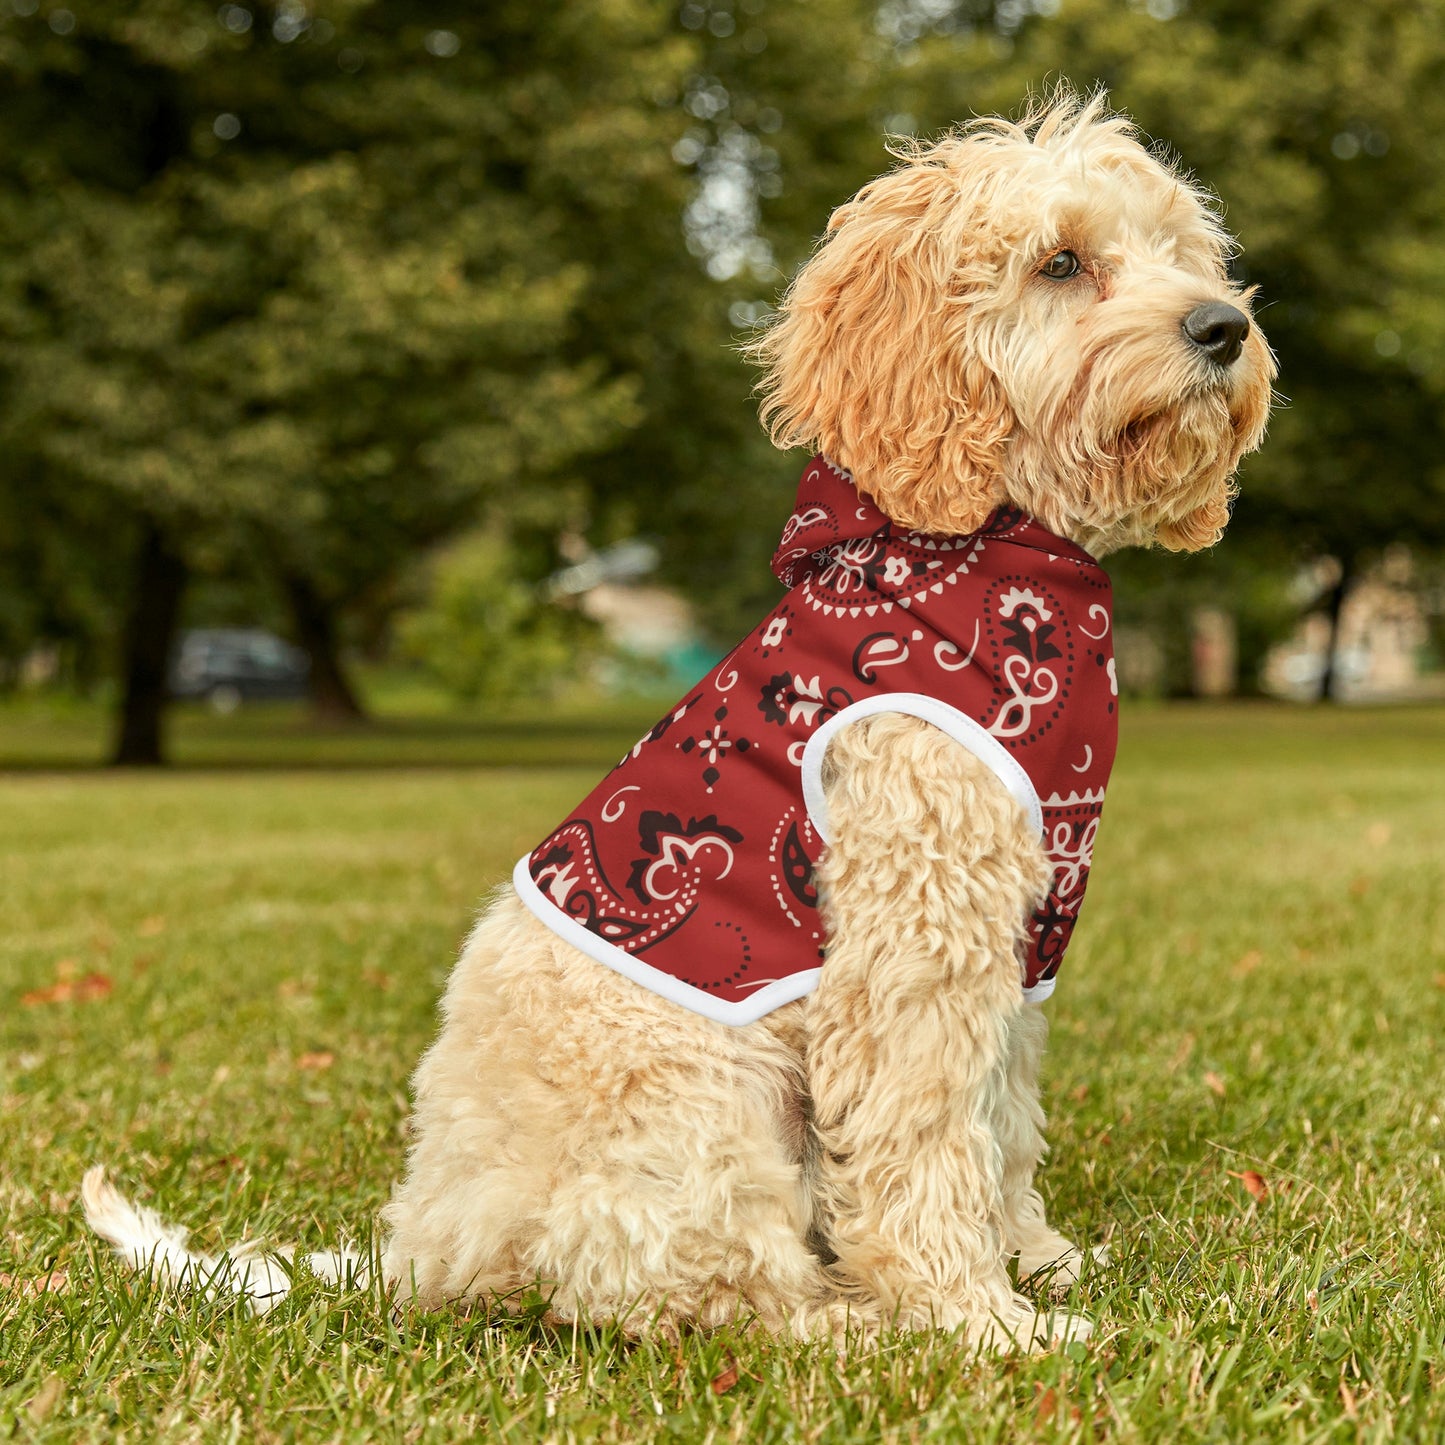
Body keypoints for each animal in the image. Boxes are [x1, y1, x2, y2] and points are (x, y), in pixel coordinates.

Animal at [84, 87, 1271, 1352]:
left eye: (1181, 253)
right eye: (1060, 262)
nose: (1221, 328)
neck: (983, 554)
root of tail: (423, 1249)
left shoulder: (1013, 940)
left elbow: (999, 1121)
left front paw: (1036, 1260)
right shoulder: (912, 940)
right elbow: (924, 1138)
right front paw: (976, 1318)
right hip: (703, 1103)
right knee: (699, 1291)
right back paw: (853, 1322)